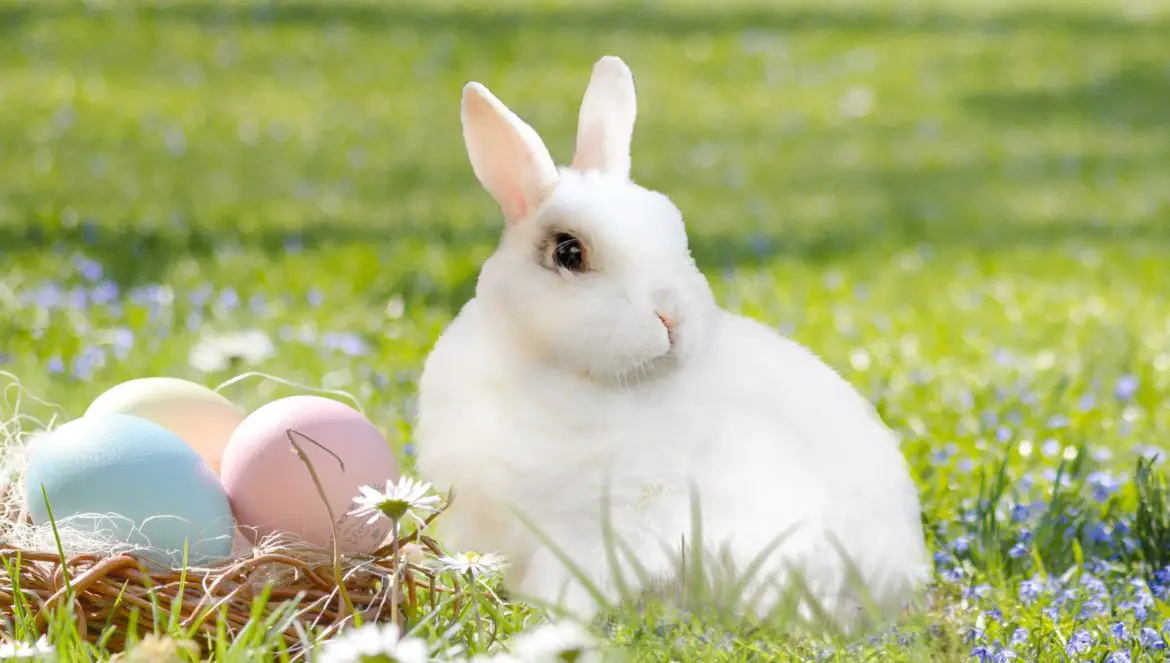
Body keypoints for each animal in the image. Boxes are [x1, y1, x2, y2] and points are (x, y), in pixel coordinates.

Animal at [416, 55, 926, 626]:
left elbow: (567, 583)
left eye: (675, 235)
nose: (671, 316)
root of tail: (896, 581)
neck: (551, 368)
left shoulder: (599, 529)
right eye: (568, 252)